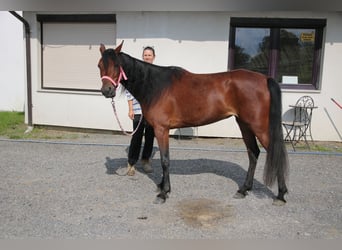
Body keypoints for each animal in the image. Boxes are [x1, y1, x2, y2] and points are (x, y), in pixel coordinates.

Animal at [97, 42, 288, 205]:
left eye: (116, 65)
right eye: (99, 65)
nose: (107, 91)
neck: (156, 86)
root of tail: (264, 79)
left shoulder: (161, 129)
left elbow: (165, 160)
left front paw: (164, 193)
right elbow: (164, 159)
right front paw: (162, 186)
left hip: (259, 127)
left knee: (275, 153)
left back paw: (280, 195)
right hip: (244, 124)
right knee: (253, 153)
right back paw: (243, 190)